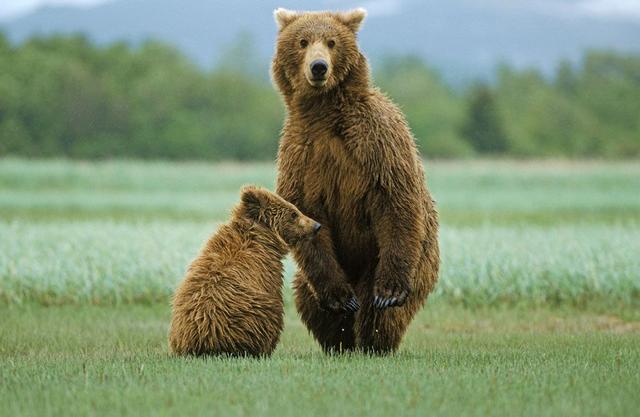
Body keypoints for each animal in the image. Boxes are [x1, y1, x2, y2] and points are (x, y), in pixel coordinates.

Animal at [168, 187, 322, 356]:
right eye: (294, 213)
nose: (316, 226)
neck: (263, 237)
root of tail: (202, 340)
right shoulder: (266, 272)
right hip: (244, 317)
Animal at [270, 7, 440, 352]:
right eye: (303, 41)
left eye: (332, 42)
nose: (318, 67)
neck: (324, 113)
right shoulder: (301, 154)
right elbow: (305, 213)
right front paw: (340, 301)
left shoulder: (376, 140)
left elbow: (395, 198)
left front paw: (389, 293)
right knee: (308, 299)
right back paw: (340, 338)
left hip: (409, 258)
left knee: (379, 309)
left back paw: (374, 340)